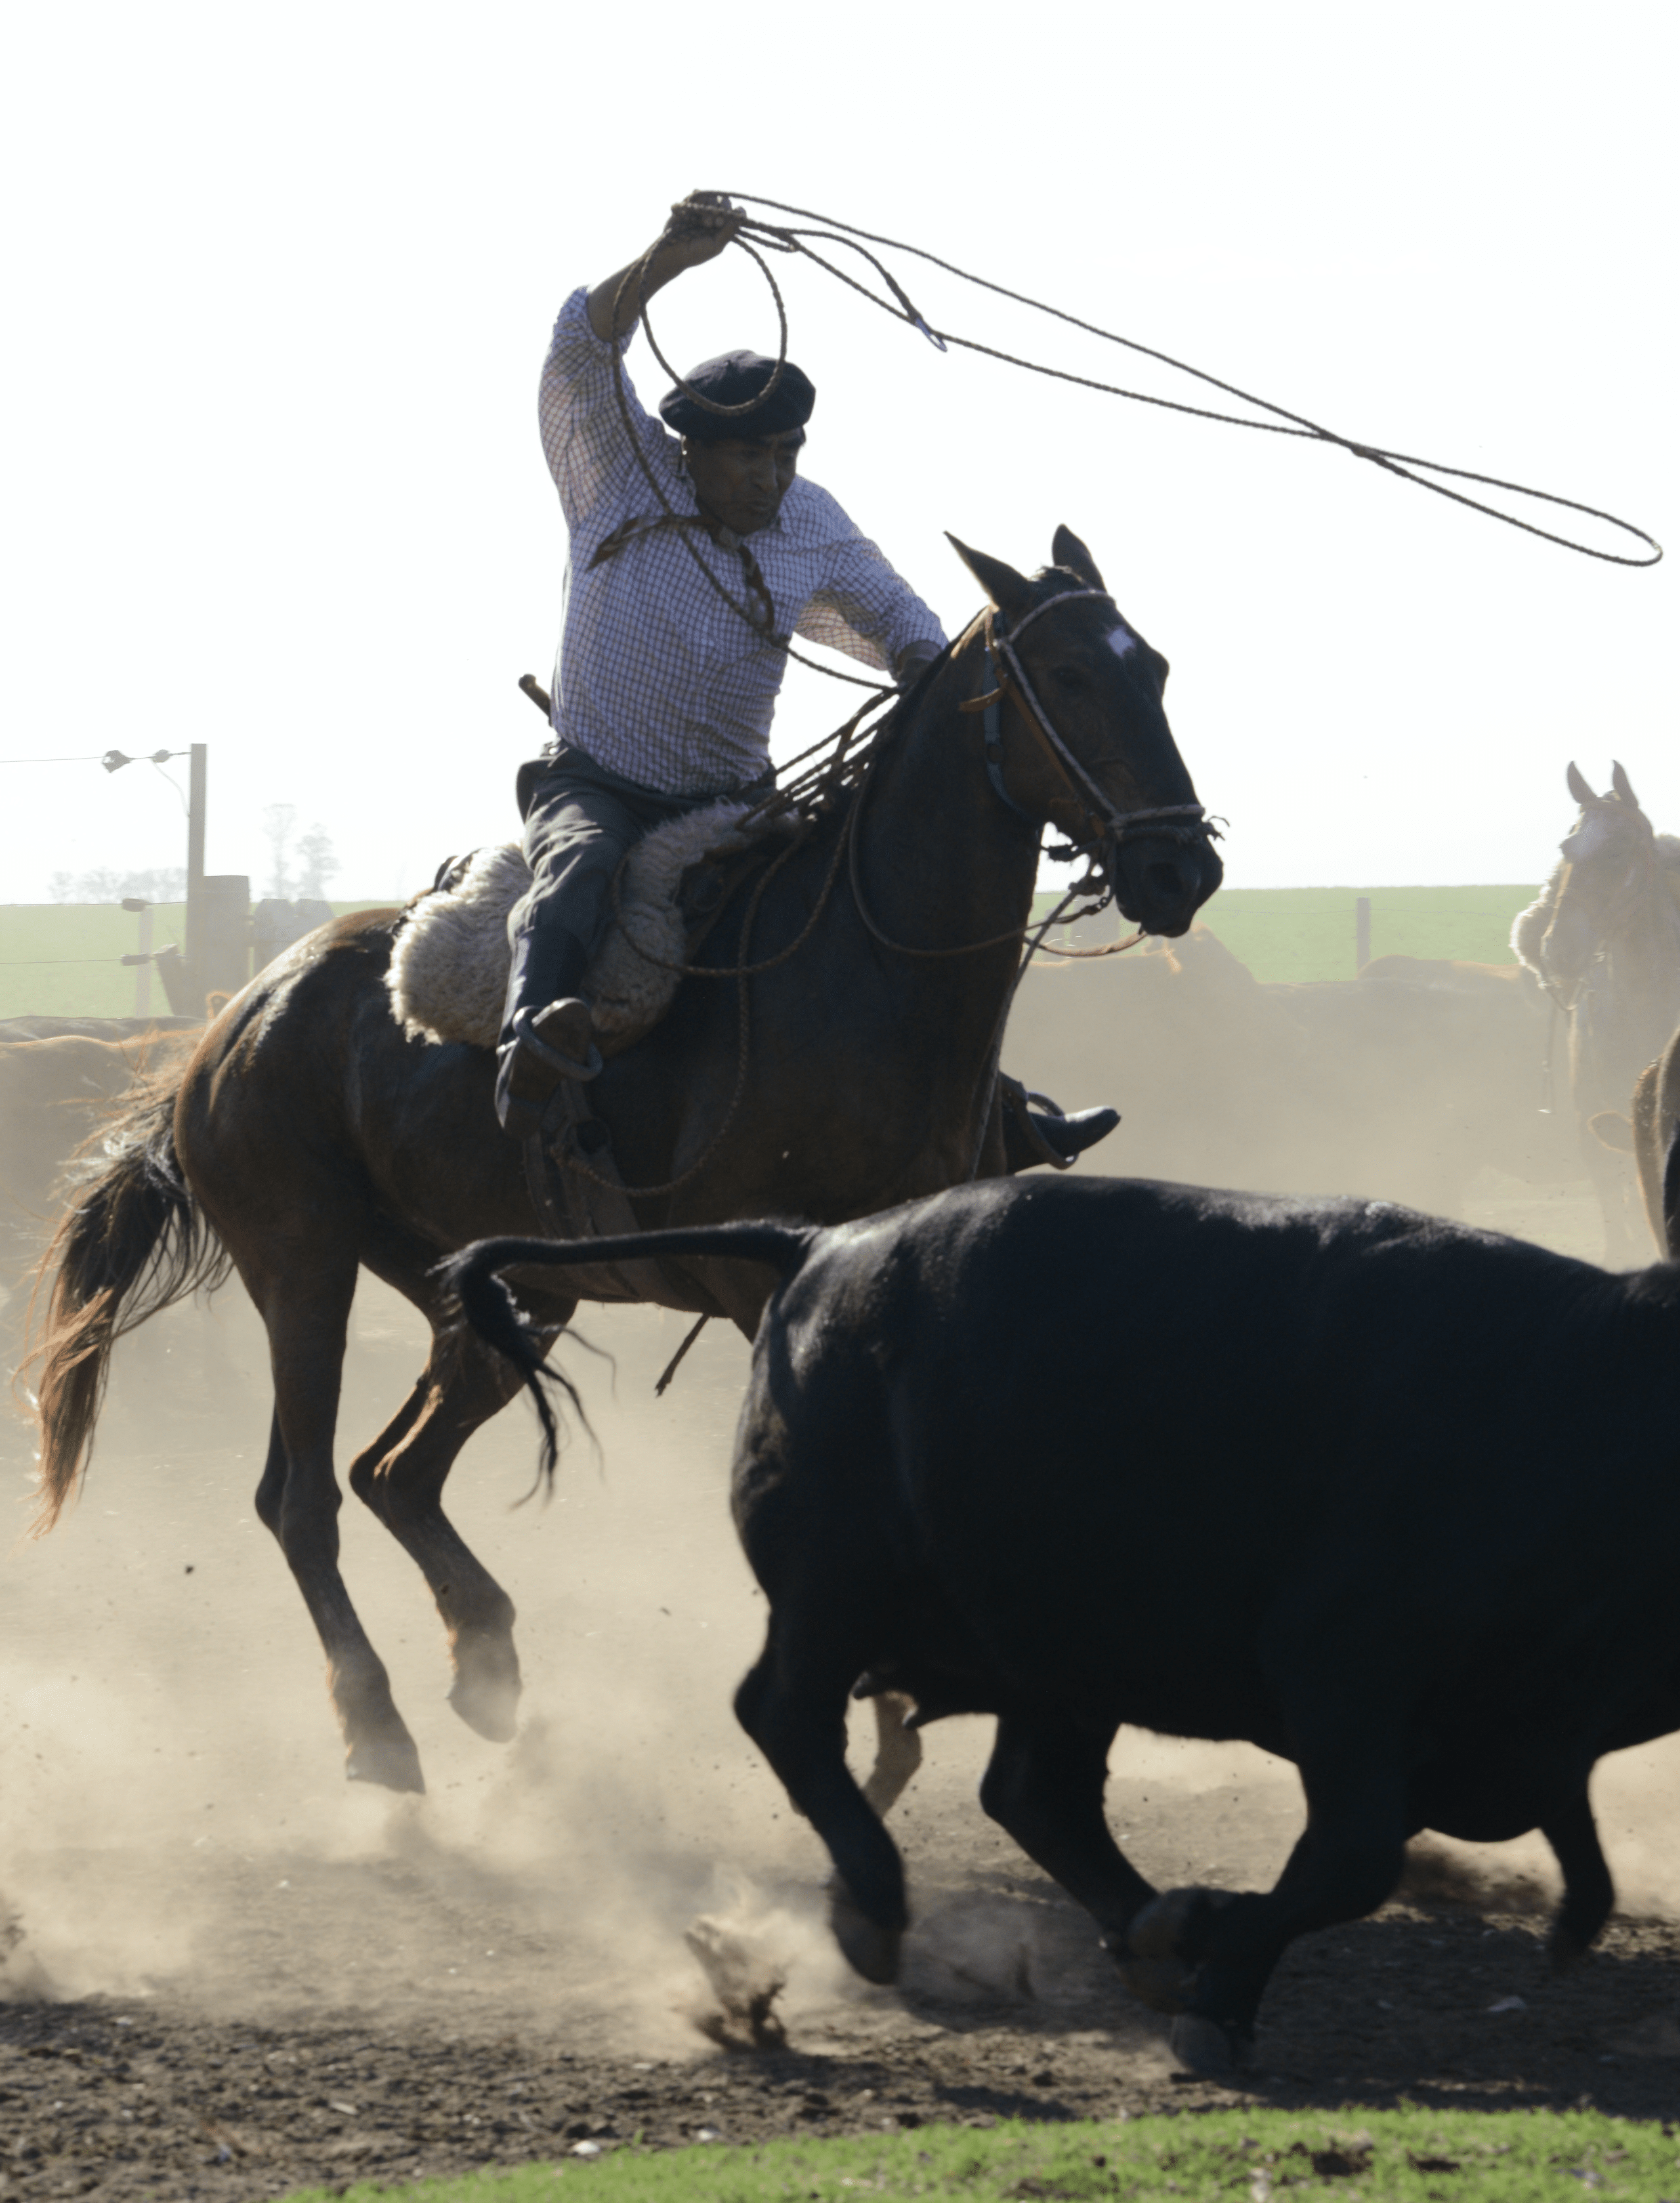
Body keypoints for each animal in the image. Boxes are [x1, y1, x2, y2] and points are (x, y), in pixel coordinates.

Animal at [26, 528, 1224, 1788]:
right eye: (1073, 676)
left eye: (1155, 667)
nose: (1181, 871)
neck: (864, 976)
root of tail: (227, 1029)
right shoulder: (760, 1284)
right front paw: (888, 1715)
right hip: (302, 1265)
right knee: (301, 1499)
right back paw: (381, 1731)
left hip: (499, 1294)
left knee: (393, 1472)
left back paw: (488, 1666)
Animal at [447, 1181, 1680, 2070]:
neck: (1585, 1404)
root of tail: (822, 1243)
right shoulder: (1346, 1673)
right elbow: (1352, 1858)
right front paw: (1217, 1979)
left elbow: (1538, 1856)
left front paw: (1202, 1954)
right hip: (836, 1590)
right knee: (789, 1716)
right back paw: (881, 1906)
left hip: (1053, 1659)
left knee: (1034, 1793)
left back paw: (1144, 1933)